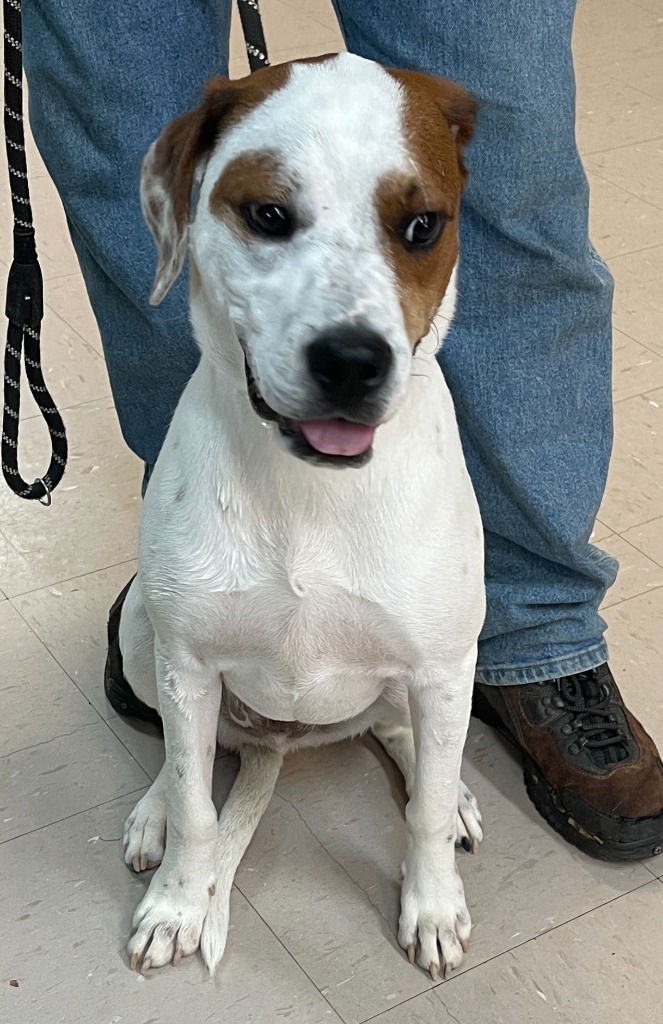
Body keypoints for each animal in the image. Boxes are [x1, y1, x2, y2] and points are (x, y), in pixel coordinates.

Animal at [116, 51, 485, 978]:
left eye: (421, 225)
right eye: (269, 214)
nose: (352, 360)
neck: (310, 490)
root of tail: (281, 738)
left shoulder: (439, 662)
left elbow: (425, 809)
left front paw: (432, 905)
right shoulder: (186, 662)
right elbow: (197, 803)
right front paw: (179, 900)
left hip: (440, 668)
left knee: (407, 735)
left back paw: (454, 784)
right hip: (142, 634)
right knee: (183, 751)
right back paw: (154, 809)